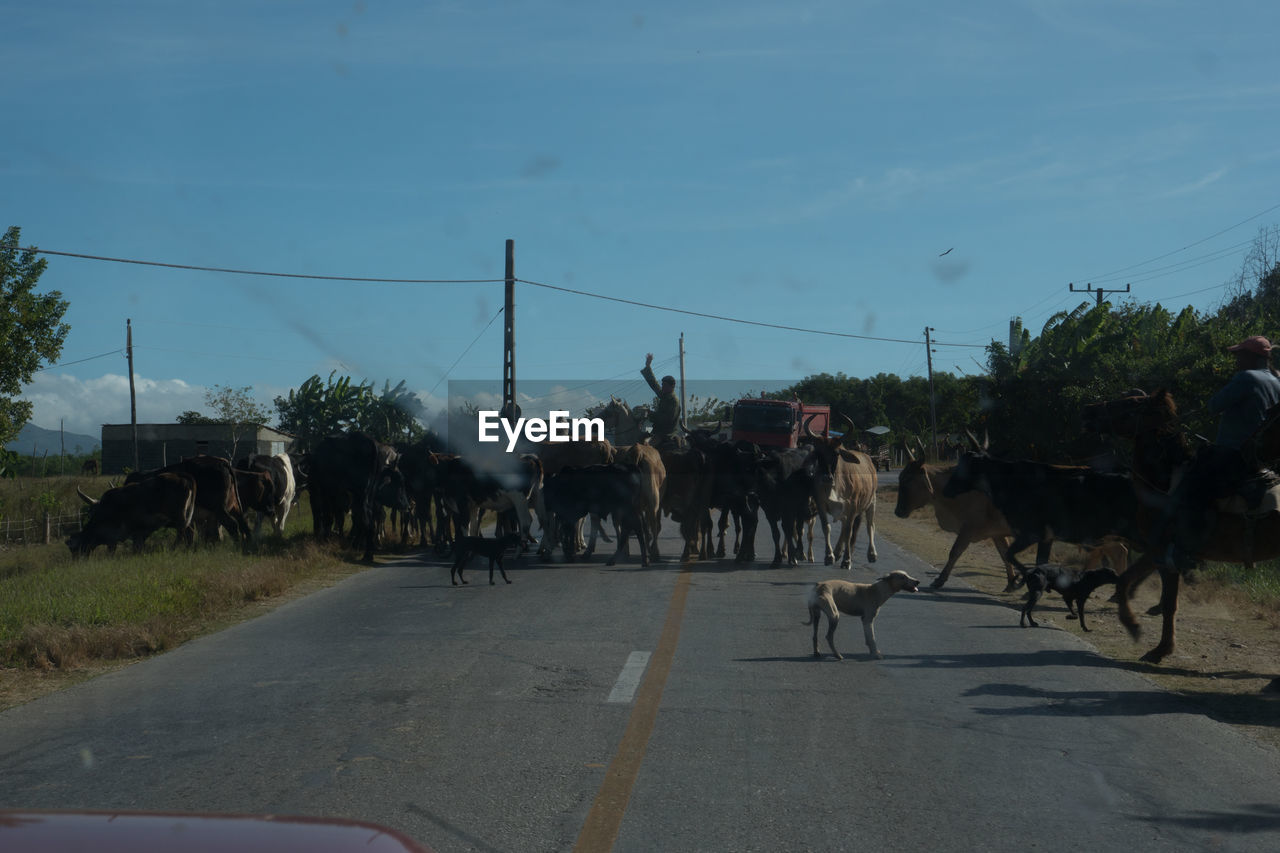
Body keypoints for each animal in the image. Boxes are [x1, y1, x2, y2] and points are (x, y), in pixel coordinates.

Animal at [1080, 389, 1280, 660]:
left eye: (1128, 406)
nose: (1088, 411)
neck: (1164, 485)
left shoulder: (1164, 553)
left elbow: (1166, 602)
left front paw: (1158, 648)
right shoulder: (1158, 552)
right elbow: (1125, 581)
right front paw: (1138, 628)